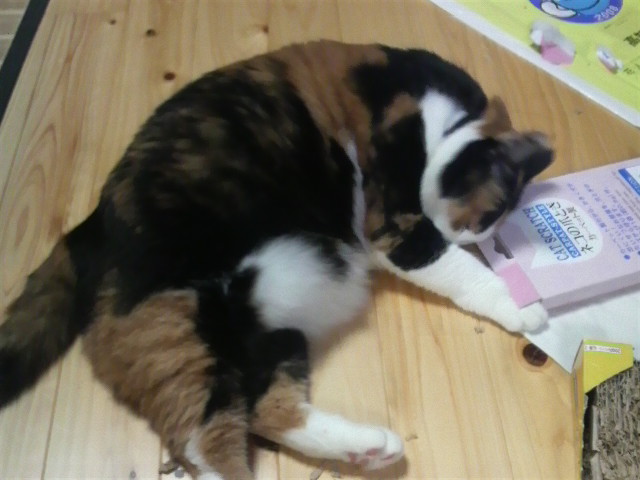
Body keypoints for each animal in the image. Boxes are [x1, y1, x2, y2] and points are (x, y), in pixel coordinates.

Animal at [0, 40, 553, 479]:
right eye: (490, 215)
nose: (473, 234)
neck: (440, 115)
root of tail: (88, 226)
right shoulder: (395, 223)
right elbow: (462, 273)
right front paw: (524, 306)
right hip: (181, 320)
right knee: (202, 440)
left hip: (270, 326)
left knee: (268, 410)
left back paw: (366, 450)